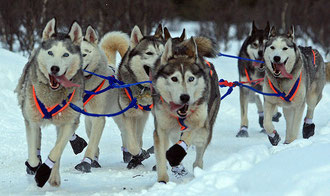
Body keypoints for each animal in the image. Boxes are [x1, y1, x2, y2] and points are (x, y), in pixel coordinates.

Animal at [14, 18, 84, 187]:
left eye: (65, 54)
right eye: (50, 52)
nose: (54, 68)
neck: (52, 96)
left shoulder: (68, 122)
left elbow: (56, 151)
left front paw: (44, 173)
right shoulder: (31, 121)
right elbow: (33, 156)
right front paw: (35, 167)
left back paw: (54, 177)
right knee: (37, 142)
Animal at [151, 35, 219, 184]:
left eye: (191, 78)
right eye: (174, 78)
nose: (185, 97)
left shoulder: (198, 122)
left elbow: (188, 133)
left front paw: (176, 153)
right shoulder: (161, 129)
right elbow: (161, 155)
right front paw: (162, 181)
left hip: (204, 133)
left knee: (198, 159)